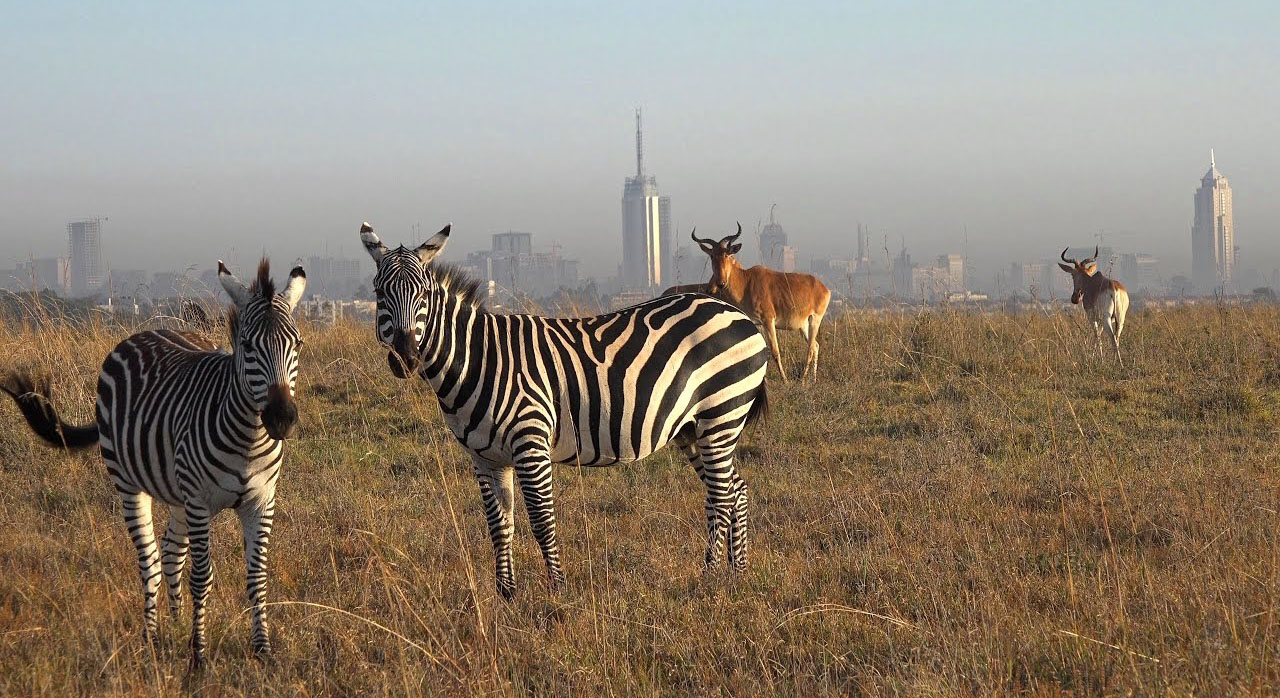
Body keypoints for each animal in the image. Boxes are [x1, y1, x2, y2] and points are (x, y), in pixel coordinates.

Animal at [1, 257, 307, 671]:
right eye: (247, 345)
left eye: (298, 344)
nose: (282, 419)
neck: (248, 438)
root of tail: (148, 330)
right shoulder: (199, 501)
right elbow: (202, 577)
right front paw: (199, 655)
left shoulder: (261, 501)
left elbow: (257, 575)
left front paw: (261, 650)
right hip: (131, 484)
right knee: (150, 560)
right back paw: (154, 638)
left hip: (178, 493)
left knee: (172, 551)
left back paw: (176, 627)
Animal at [360, 220, 768, 596]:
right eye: (379, 293)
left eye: (424, 294)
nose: (405, 358)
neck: (480, 359)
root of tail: (735, 312)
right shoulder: (485, 456)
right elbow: (499, 525)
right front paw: (506, 595)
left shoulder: (530, 442)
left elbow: (542, 521)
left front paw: (558, 590)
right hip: (693, 428)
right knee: (736, 490)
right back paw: (737, 574)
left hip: (721, 413)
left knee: (721, 496)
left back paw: (709, 577)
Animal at [696, 224, 834, 381]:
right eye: (712, 255)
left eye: (727, 255)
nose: (717, 285)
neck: (747, 281)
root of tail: (824, 288)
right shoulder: (757, 322)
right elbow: (760, 349)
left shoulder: (769, 320)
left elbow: (774, 351)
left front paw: (785, 380)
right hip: (803, 325)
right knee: (816, 346)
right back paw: (814, 379)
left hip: (815, 319)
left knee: (810, 348)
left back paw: (803, 380)